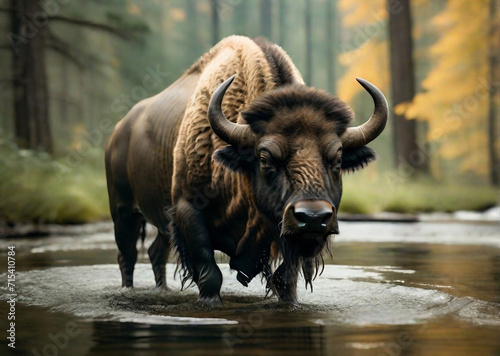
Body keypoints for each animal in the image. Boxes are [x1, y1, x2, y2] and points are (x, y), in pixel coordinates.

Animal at [104, 36, 386, 304]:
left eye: (337, 159)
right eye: (264, 158)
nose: (314, 217)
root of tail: (118, 131)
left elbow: (285, 281)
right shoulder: (188, 211)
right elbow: (210, 275)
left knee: (155, 253)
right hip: (123, 212)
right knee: (127, 255)